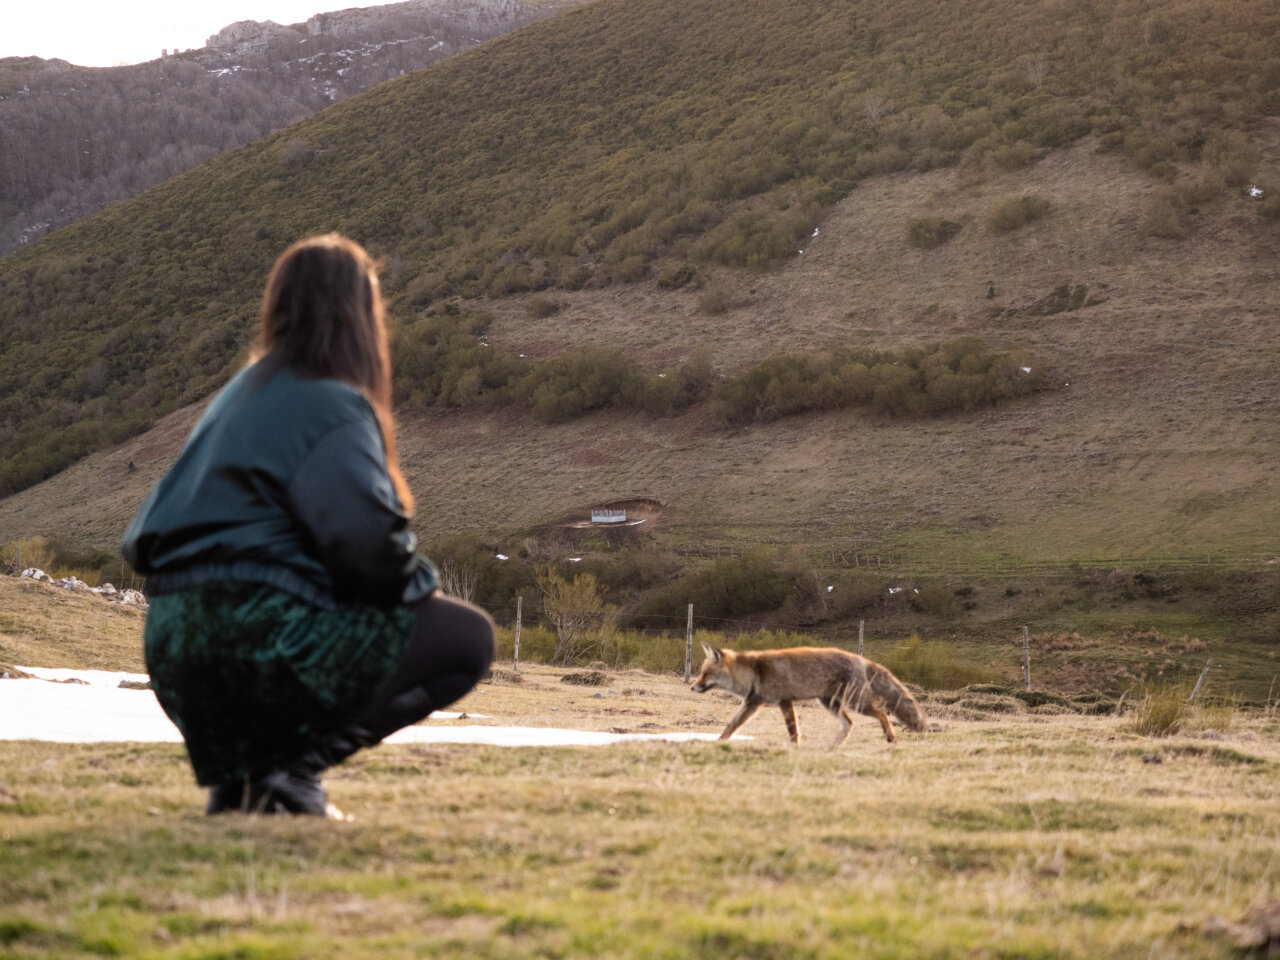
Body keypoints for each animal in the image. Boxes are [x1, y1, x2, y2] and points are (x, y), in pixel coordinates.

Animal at [691, 643, 926, 744]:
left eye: (705, 674)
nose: (693, 687)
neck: (753, 672)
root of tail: (860, 658)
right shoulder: (764, 702)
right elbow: (730, 726)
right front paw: (719, 741)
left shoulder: (776, 701)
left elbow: (792, 729)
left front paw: (795, 746)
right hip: (830, 703)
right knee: (849, 724)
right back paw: (833, 747)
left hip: (856, 703)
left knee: (882, 714)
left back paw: (890, 737)